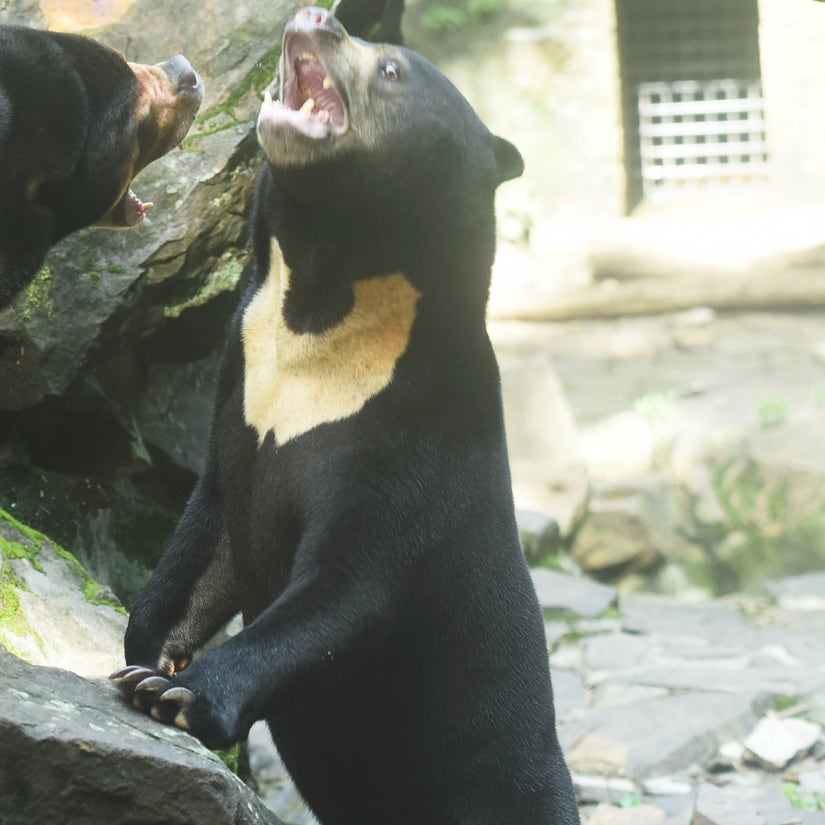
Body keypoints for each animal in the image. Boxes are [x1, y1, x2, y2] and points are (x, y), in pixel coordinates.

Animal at [112, 8, 580, 824]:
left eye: (389, 67)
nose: (316, 16)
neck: (321, 305)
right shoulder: (240, 393)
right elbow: (208, 543)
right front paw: (145, 666)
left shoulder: (412, 432)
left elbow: (347, 591)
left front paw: (182, 695)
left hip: (506, 786)